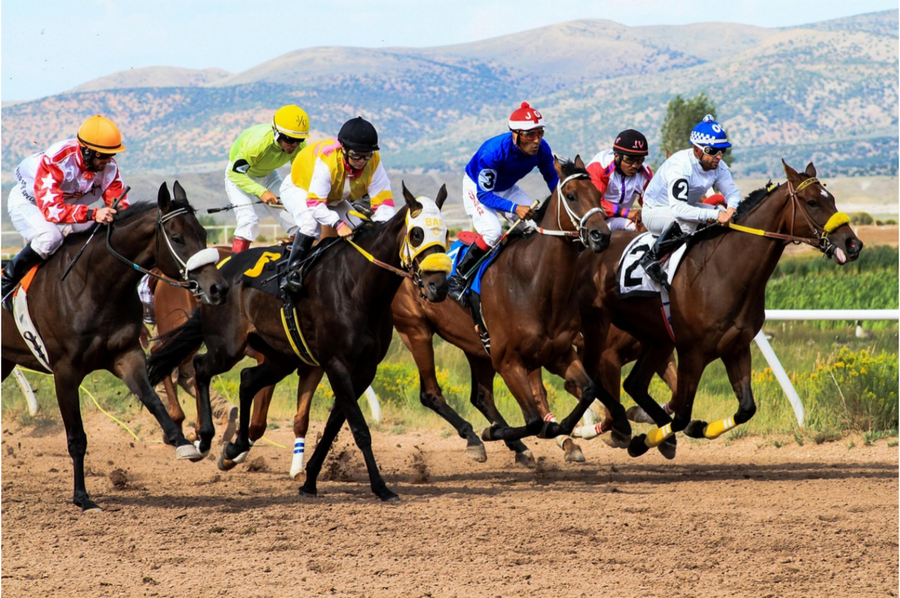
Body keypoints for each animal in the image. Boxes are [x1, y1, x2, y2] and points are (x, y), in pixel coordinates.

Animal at [0, 182, 228, 511]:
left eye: (203, 233)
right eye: (177, 238)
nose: (218, 288)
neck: (93, 286)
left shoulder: (127, 356)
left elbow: (153, 400)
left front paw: (184, 443)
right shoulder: (65, 372)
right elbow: (77, 438)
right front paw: (83, 498)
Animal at [147, 184, 451, 501]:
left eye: (445, 233)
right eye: (417, 234)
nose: (438, 286)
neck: (357, 285)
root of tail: (217, 277)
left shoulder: (363, 369)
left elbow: (332, 427)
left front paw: (309, 479)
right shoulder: (336, 364)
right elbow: (359, 429)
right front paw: (380, 487)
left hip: (280, 357)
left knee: (247, 379)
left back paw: (234, 446)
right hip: (227, 347)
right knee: (200, 367)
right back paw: (204, 438)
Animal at [389, 156, 632, 466]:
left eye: (599, 195)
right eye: (571, 196)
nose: (602, 236)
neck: (533, 282)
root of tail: (404, 264)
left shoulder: (559, 354)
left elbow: (586, 391)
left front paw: (568, 431)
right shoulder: (509, 362)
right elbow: (533, 419)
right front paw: (495, 433)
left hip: (476, 348)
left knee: (481, 397)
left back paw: (516, 445)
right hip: (416, 331)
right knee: (431, 393)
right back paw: (475, 438)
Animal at [571, 160, 863, 457]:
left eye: (832, 199)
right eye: (812, 202)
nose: (853, 244)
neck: (724, 271)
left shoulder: (736, 347)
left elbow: (746, 409)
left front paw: (695, 430)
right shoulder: (691, 353)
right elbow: (682, 414)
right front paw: (644, 440)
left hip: (656, 340)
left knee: (634, 384)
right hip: (602, 333)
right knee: (595, 380)